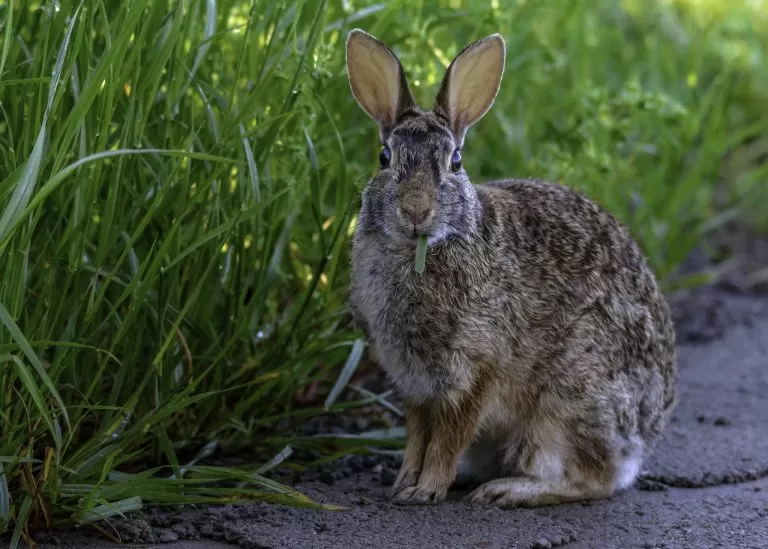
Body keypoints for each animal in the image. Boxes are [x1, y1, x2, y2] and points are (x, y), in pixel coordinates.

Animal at [344, 28, 676, 510]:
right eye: (384, 157)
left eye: (456, 162)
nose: (416, 210)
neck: (425, 247)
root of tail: (645, 435)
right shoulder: (414, 383)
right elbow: (418, 436)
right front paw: (404, 484)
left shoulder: (477, 371)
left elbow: (448, 437)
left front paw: (426, 488)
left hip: (570, 400)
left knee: (596, 478)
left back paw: (507, 490)